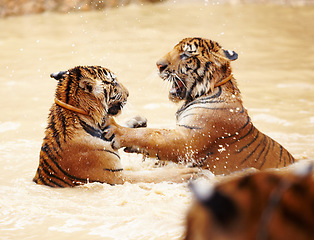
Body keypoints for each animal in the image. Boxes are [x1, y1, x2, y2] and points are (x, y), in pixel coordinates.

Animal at [33, 65, 197, 188]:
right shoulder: (116, 177)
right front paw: (186, 173)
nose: (129, 94)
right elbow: (150, 177)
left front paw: (138, 121)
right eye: (113, 83)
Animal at [105, 37, 294, 174]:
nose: (158, 65)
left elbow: (152, 135)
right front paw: (137, 123)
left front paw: (117, 129)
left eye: (186, 54)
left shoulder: (187, 140)